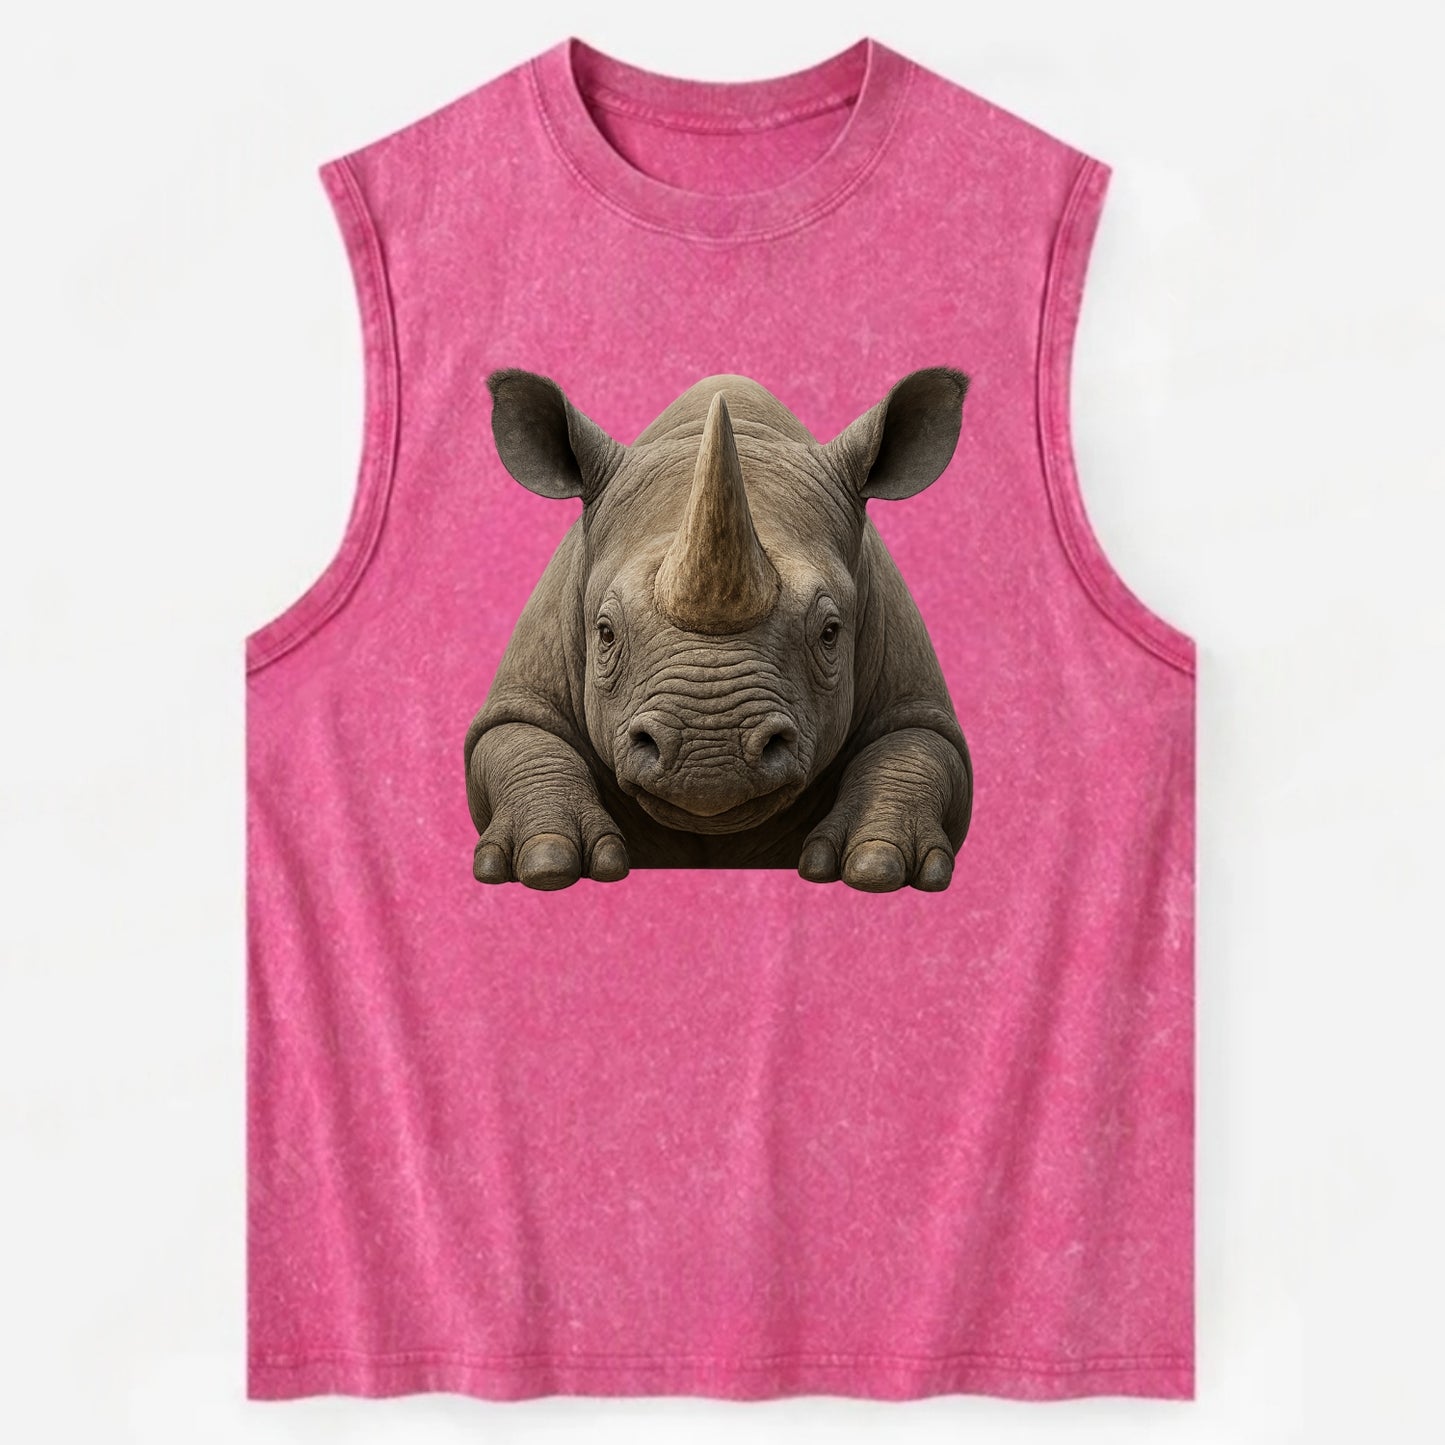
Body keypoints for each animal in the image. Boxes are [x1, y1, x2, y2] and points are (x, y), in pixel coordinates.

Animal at [464, 366, 973, 892]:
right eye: (605, 633)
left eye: (830, 633)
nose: (710, 757)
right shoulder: (524, 690)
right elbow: (518, 737)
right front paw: (547, 862)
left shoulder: (912, 691)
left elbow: (917, 746)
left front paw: (877, 866)